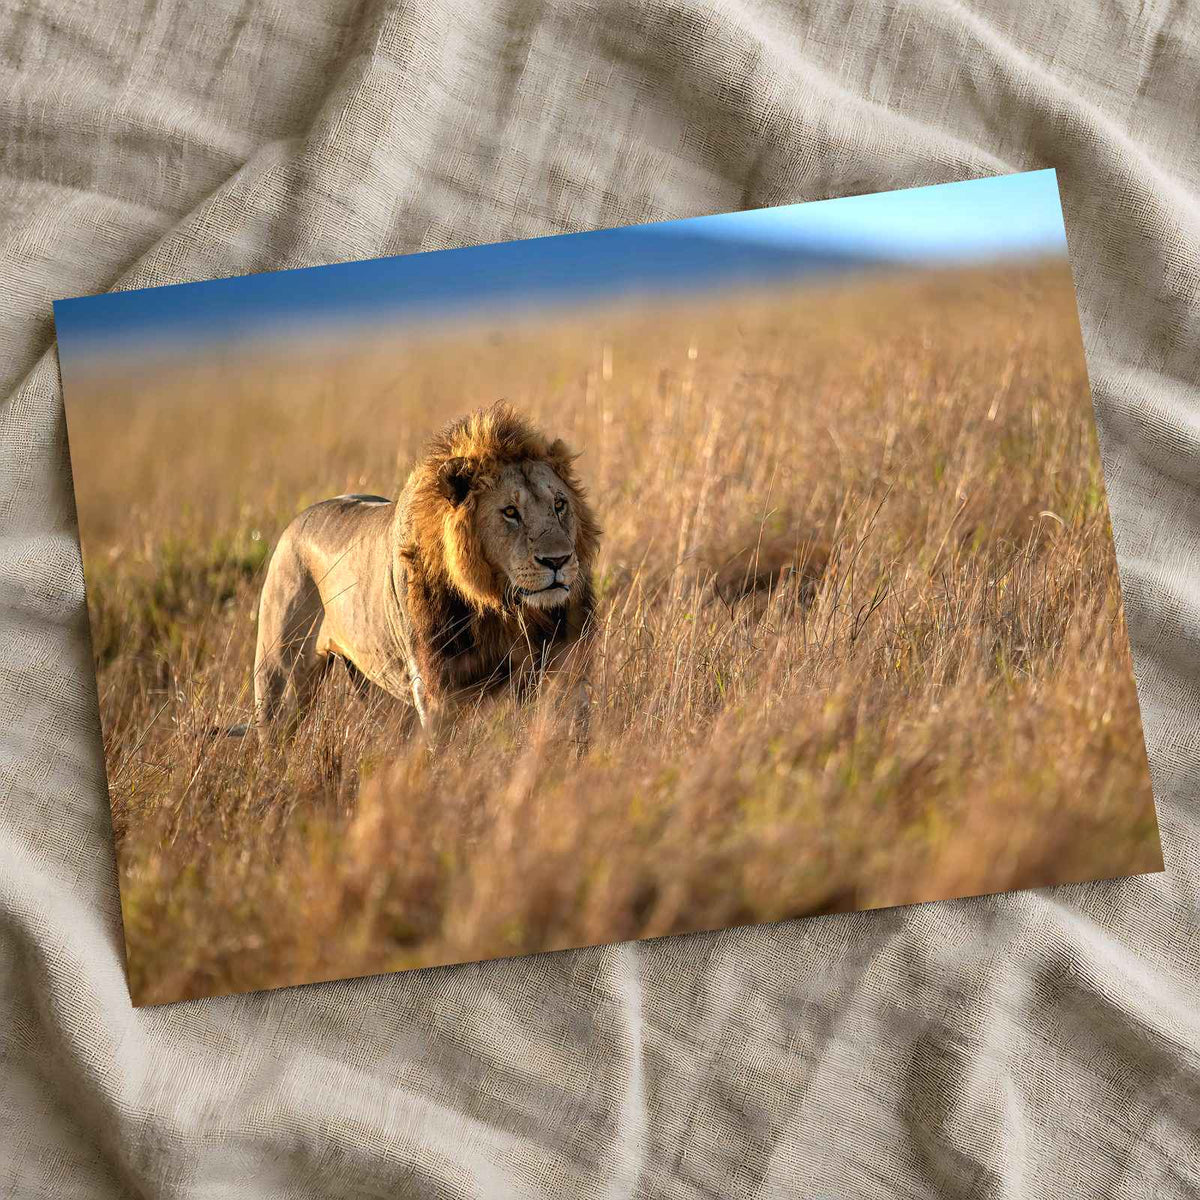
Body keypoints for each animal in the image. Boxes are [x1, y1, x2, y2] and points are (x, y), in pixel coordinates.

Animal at [248, 404, 601, 748]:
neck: (503, 608)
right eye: (510, 512)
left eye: (559, 504)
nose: (557, 560)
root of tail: (293, 525)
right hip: (281, 680)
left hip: (381, 687)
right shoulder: (438, 692)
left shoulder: (567, 672)